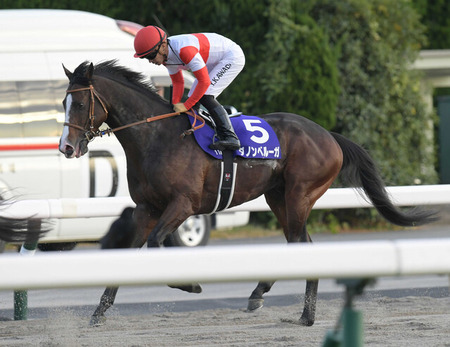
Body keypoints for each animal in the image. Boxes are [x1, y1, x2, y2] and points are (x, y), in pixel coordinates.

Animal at [59, 61, 436, 328]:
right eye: (63, 101)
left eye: (79, 103)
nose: (66, 147)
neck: (157, 137)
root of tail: (329, 135)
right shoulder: (146, 208)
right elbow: (129, 251)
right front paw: (98, 312)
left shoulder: (183, 205)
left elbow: (155, 244)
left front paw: (190, 286)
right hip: (278, 198)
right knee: (301, 244)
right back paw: (294, 309)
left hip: (300, 194)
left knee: (299, 244)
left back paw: (278, 301)